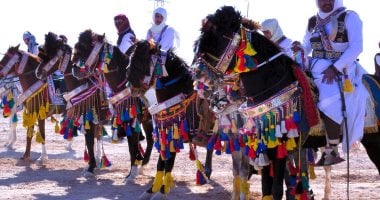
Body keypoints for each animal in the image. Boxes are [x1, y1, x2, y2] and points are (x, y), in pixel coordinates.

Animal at [127, 39, 214, 199]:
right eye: (131, 59)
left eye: (143, 61)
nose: (131, 85)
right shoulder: (164, 133)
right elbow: (161, 162)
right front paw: (151, 190)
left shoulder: (174, 133)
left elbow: (169, 162)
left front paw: (161, 191)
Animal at [193, 5, 380, 199]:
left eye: (220, 35)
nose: (196, 72)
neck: (273, 84)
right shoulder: (263, 145)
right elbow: (264, 185)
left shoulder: (280, 145)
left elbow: (276, 188)